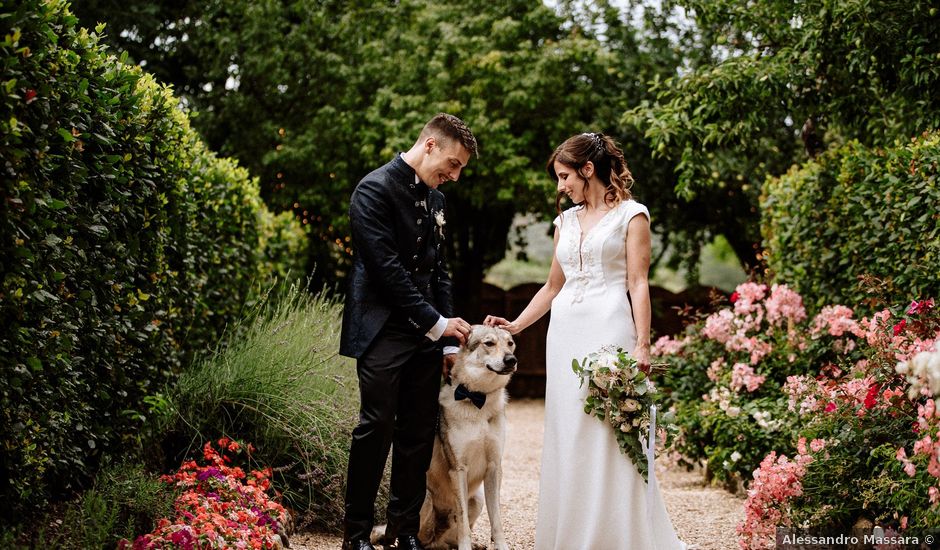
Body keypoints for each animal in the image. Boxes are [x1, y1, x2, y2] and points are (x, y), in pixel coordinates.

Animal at [370, 328, 516, 550]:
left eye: (510, 344)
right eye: (489, 343)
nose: (511, 360)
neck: (478, 401)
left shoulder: (494, 467)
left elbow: (496, 520)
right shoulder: (458, 469)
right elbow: (463, 521)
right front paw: (466, 547)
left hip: (478, 499)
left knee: (445, 540)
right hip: (424, 498)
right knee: (420, 539)